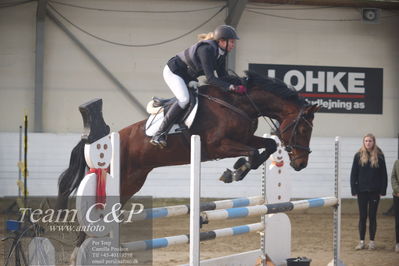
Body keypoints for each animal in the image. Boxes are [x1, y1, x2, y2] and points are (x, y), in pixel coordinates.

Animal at [56, 69, 320, 256]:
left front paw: (237, 169)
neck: (240, 104)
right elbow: (255, 152)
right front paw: (236, 170)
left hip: (132, 182)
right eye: (303, 128)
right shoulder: (219, 145)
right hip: (118, 179)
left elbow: (268, 147)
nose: (301, 163)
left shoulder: (244, 138)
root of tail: (106, 141)